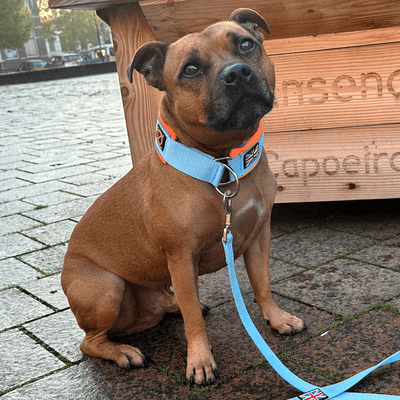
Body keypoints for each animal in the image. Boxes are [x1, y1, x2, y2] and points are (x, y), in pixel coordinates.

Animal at [61, 7, 306, 386]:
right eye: (190, 69)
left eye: (246, 44)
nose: (237, 72)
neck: (223, 165)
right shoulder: (181, 257)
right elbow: (194, 321)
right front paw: (200, 361)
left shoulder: (258, 238)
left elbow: (262, 284)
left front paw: (276, 319)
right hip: (106, 288)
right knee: (89, 341)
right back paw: (123, 352)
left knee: (168, 303)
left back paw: (167, 308)